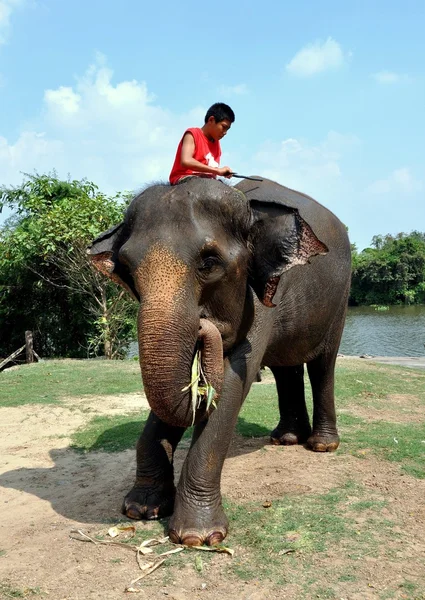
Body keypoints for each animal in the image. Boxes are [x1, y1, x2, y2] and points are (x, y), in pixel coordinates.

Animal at [88, 176, 350, 548]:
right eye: (128, 267)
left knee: (323, 365)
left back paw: (322, 446)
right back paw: (285, 439)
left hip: (340, 301)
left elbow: (231, 385)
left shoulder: (259, 297)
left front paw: (198, 537)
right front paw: (141, 509)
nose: (203, 325)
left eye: (209, 263)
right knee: (286, 367)